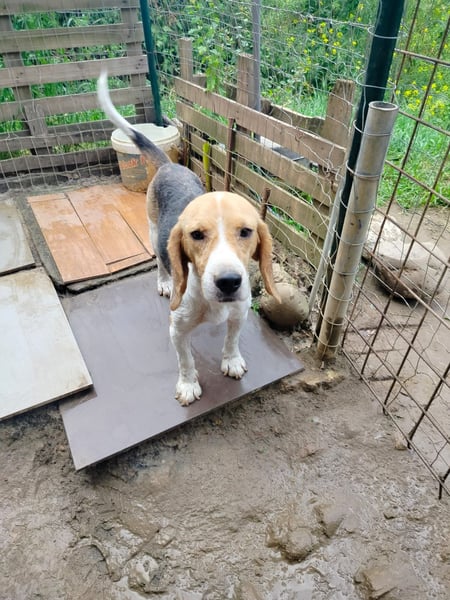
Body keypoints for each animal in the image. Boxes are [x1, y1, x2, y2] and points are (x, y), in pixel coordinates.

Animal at [97, 71, 280, 405]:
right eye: (196, 235)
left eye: (246, 232)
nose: (229, 282)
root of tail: (170, 164)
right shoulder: (177, 329)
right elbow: (185, 360)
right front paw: (187, 385)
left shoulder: (240, 314)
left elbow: (232, 340)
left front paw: (231, 360)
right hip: (153, 232)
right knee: (159, 262)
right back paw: (165, 282)